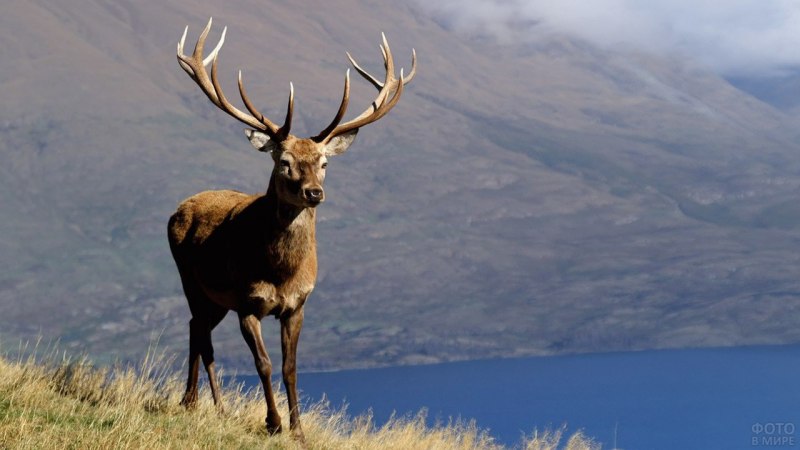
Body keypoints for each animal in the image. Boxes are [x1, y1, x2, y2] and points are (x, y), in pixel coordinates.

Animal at [167, 18, 415, 441]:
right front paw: (273, 422)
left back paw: (211, 405)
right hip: (191, 280)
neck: (281, 273)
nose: (314, 192)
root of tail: (179, 208)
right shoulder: (247, 302)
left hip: (216, 299)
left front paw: (298, 429)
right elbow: (264, 364)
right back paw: (194, 402)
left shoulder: (298, 305)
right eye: (284, 162)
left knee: (199, 330)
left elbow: (290, 367)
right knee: (198, 330)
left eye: (324, 163)